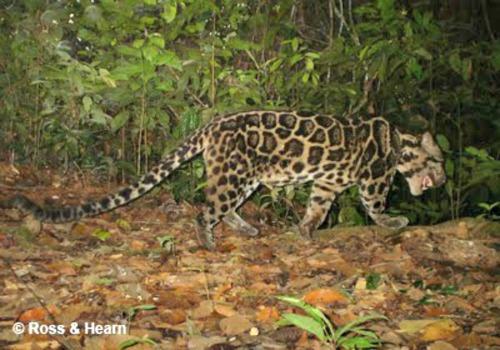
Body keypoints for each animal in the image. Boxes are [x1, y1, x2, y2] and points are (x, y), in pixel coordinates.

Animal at [6, 110, 446, 250]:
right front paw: (394, 221)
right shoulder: (374, 180)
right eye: (440, 160)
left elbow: (317, 209)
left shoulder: (326, 185)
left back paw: (245, 228)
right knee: (207, 210)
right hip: (236, 174)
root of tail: (212, 124)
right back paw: (208, 242)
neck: (399, 144)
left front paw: (305, 231)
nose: (442, 181)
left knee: (225, 206)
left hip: (244, 176)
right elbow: (375, 205)